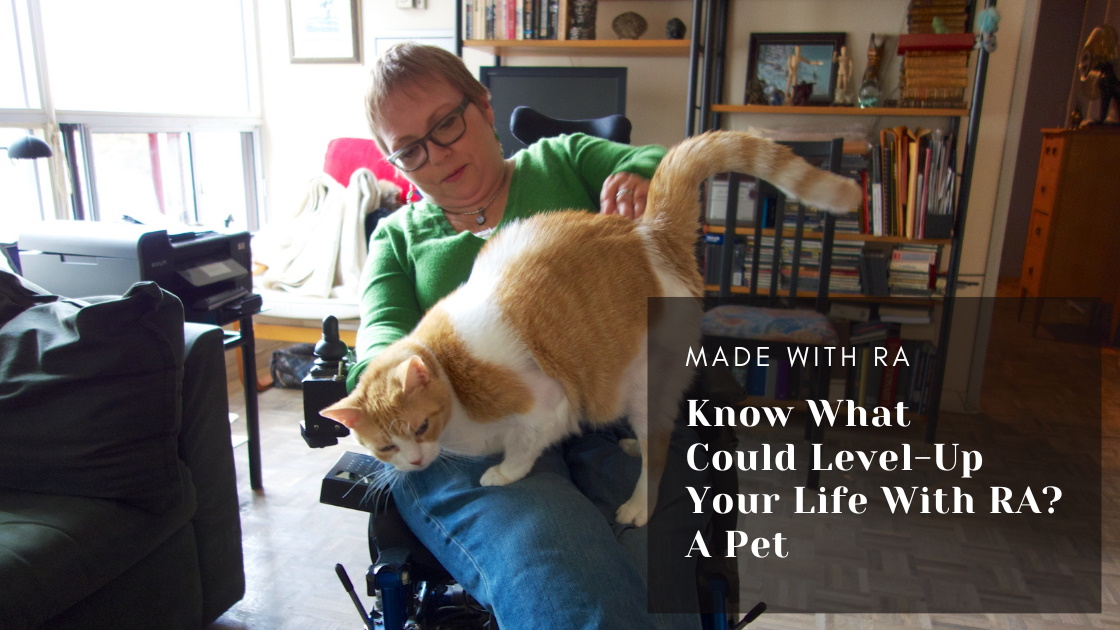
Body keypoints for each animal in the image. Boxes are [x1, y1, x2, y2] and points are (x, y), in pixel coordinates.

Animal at [320, 131, 860, 524]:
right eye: (385, 446)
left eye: (420, 426)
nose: (413, 462)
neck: (451, 377)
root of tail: (648, 230)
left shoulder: (547, 408)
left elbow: (521, 451)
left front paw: (501, 474)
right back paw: (630, 442)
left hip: (646, 381)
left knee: (658, 453)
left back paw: (639, 504)